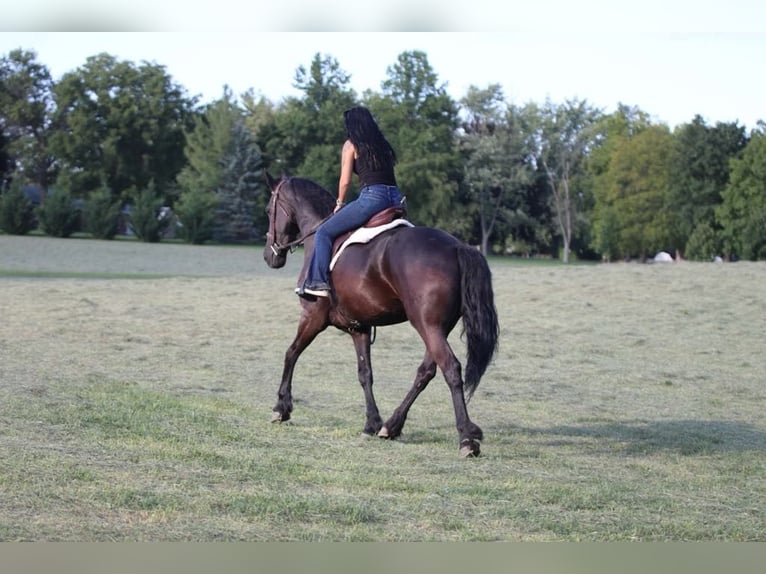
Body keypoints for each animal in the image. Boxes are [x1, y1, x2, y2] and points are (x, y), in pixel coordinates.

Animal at [264, 172, 504, 460]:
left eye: (268, 210)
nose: (269, 256)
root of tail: (457, 247)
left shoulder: (313, 317)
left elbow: (291, 353)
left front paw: (281, 407)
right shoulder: (359, 327)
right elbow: (365, 372)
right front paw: (372, 422)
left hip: (427, 326)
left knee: (451, 369)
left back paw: (466, 437)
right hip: (437, 328)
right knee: (426, 371)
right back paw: (392, 425)